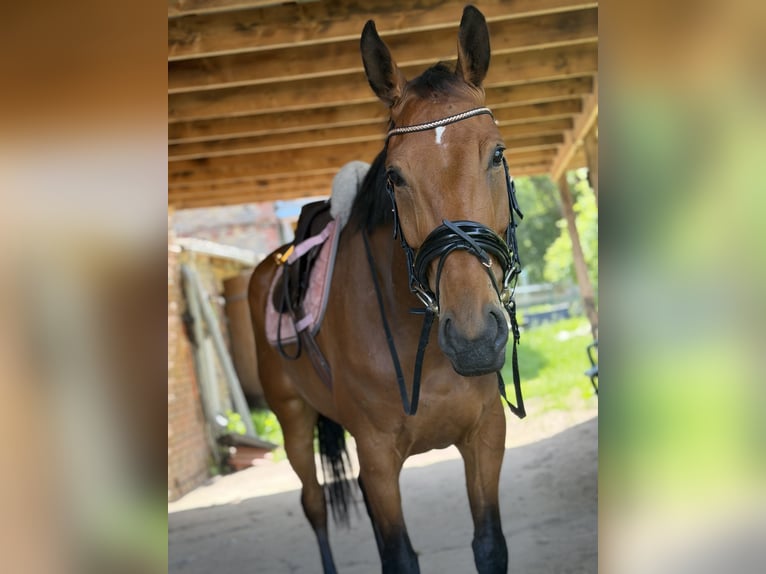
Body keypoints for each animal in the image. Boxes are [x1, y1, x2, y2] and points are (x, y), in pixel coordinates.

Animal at [248, 6, 525, 573]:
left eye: (497, 154)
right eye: (395, 177)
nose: (473, 339)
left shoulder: (486, 435)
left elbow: (489, 544)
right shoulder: (377, 456)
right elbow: (399, 556)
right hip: (292, 421)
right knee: (314, 504)